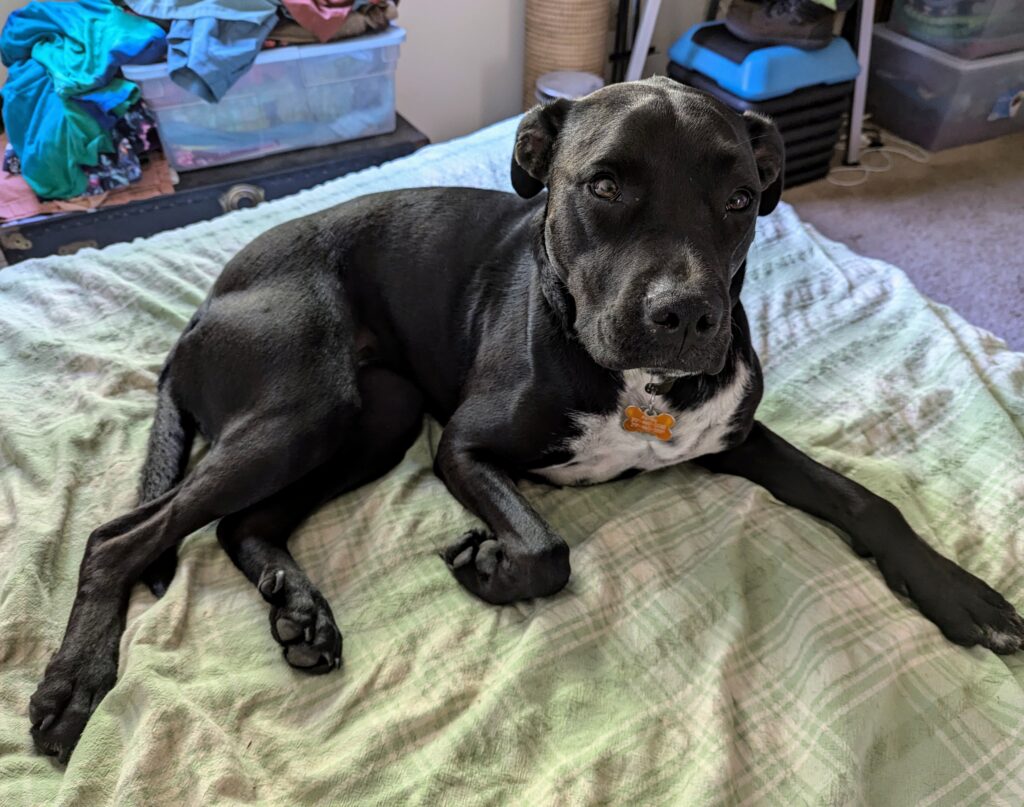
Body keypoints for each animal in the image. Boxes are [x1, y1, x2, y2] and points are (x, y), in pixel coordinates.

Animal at [32, 80, 1024, 761]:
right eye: (604, 186)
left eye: (741, 200)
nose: (688, 316)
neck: (637, 383)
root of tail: (202, 308)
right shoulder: (464, 447)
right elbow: (549, 549)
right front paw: (492, 566)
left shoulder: (737, 436)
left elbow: (863, 502)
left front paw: (961, 594)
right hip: (303, 407)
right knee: (120, 535)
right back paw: (76, 682)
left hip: (373, 417)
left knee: (242, 524)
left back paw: (299, 610)